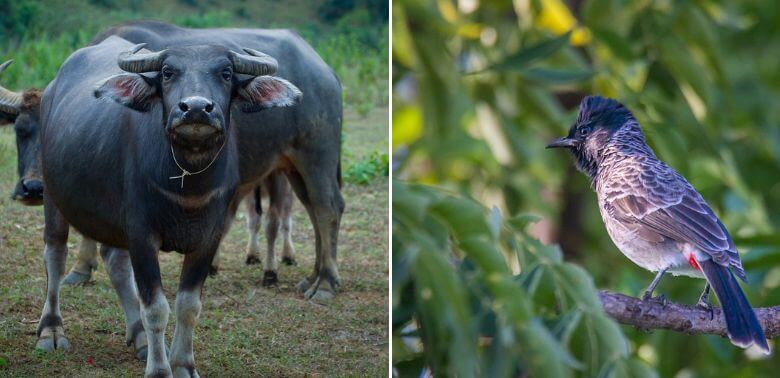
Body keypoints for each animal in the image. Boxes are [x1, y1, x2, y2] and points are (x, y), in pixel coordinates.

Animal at [38, 34, 304, 376]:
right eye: (167, 72)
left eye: (226, 73)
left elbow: (188, 305)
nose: (196, 108)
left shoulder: (209, 236)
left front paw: (183, 364)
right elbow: (155, 307)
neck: (187, 184)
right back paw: (51, 330)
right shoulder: (141, 234)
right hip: (52, 196)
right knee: (55, 256)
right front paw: (159, 369)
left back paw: (139, 338)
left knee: (116, 264)